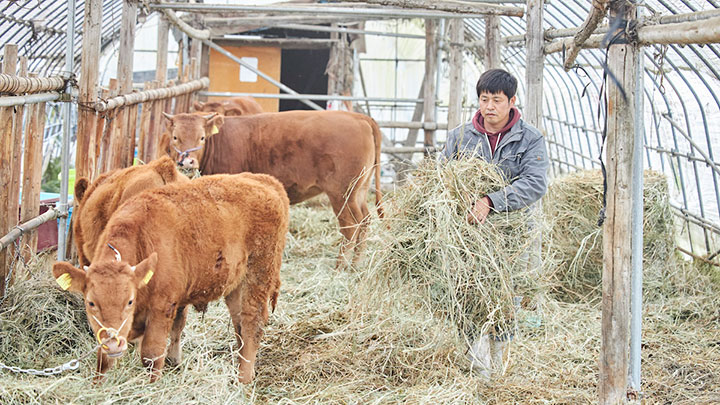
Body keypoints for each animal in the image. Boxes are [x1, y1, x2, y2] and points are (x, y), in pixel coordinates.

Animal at [52, 172, 288, 384]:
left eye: (129, 301)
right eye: (90, 303)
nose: (113, 343)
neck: (141, 239)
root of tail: (263, 180)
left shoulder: (162, 307)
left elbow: (151, 354)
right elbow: (103, 361)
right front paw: (98, 385)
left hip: (258, 276)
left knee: (251, 324)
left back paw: (244, 380)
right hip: (235, 285)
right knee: (239, 323)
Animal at [158, 109, 382, 266]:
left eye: (202, 137)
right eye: (176, 137)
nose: (187, 162)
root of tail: (359, 117)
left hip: (342, 193)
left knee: (351, 226)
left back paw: (341, 267)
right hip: (360, 191)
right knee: (365, 221)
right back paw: (356, 265)